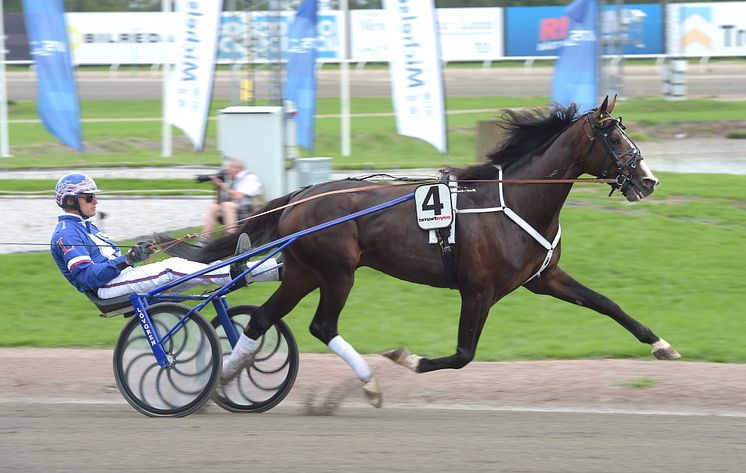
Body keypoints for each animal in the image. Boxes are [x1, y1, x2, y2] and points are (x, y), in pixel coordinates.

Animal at [163, 96, 680, 406]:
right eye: (613, 136)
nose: (649, 181)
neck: (515, 200)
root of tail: (301, 195)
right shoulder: (478, 290)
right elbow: (463, 354)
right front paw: (405, 358)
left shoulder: (544, 278)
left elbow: (607, 304)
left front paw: (661, 344)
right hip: (336, 272)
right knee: (320, 325)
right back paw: (368, 382)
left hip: (303, 273)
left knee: (262, 320)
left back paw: (225, 381)